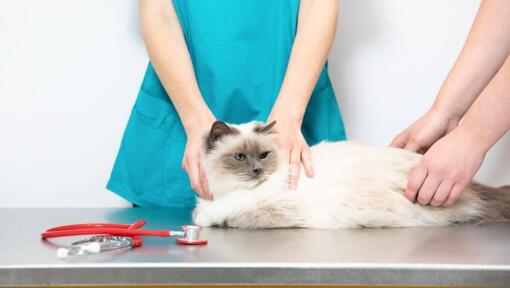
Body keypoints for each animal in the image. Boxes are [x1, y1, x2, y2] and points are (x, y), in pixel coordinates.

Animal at [192, 120, 510, 228]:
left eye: (263, 156)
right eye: (239, 157)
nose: (257, 171)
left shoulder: (264, 210)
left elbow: (223, 214)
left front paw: (205, 217)